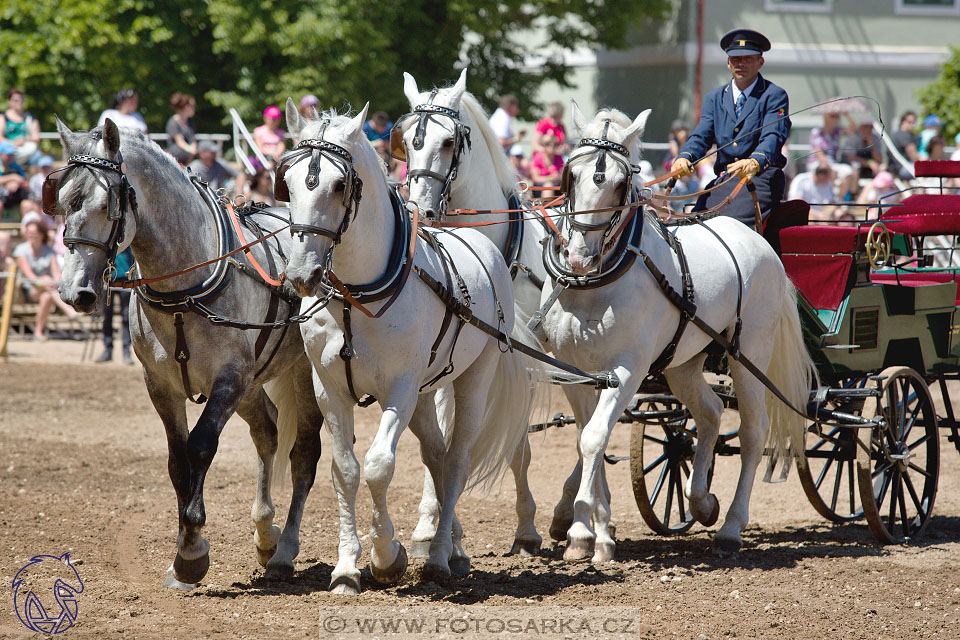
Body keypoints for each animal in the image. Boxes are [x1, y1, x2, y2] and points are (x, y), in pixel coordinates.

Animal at [282, 101, 544, 596]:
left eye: (339, 185)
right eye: (285, 181)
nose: (300, 275)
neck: (356, 297)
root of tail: (483, 243)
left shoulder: (399, 389)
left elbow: (378, 465)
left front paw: (388, 556)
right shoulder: (329, 389)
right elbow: (345, 470)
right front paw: (346, 568)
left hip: (471, 379)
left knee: (457, 459)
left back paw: (440, 556)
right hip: (427, 391)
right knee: (437, 456)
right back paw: (451, 543)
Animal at [394, 69, 552, 556]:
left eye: (449, 141)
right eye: (405, 141)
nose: (420, 209)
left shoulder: (517, 360)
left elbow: (517, 443)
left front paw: (527, 526)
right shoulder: (443, 355)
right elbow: (441, 437)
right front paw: (432, 525)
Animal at [544, 105, 812, 560]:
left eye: (620, 183)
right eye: (572, 175)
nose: (580, 257)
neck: (594, 283)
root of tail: (759, 241)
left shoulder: (627, 371)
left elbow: (595, 438)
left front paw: (586, 532)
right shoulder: (573, 372)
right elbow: (586, 438)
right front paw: (591, 529)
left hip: (750, 353)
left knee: (753, 433)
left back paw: (731, 527)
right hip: (682, 362)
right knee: (710, 412)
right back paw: (701, 500)